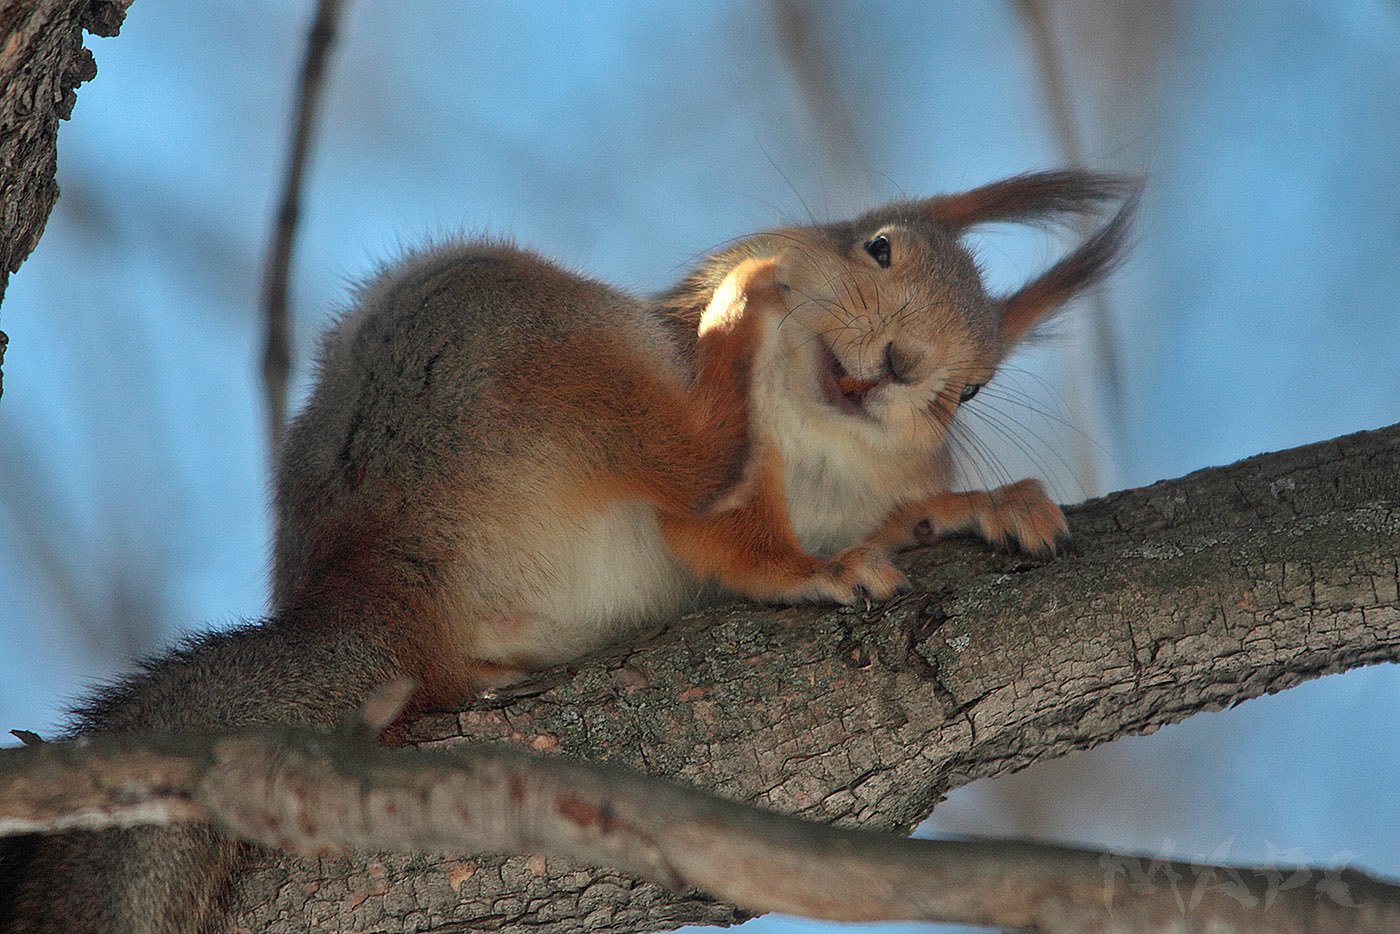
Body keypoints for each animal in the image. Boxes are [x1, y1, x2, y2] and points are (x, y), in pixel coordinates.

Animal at [0, 170, 1136, 934]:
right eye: (879, 248)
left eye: (973, 389)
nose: (906, 363)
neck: (817, 447)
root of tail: (376, 590)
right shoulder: (731, 490)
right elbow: (730, 539)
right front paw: (822, 562)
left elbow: (884, 516)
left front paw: (980, 504)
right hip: (519, 350)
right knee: (692, 458)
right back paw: (742, 310)